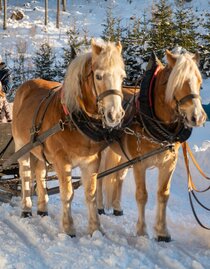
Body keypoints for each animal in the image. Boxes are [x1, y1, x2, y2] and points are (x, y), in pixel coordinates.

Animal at [11, 38, 126, 236]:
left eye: (122, 77)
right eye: (98, 76)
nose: (115, 115)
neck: (73, 119)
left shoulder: (91, 161)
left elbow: (90, 194)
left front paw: (95, 229)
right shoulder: (61, 161)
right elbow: (67, 193)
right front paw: (68, 228)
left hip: (39, 150)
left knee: (40, 173)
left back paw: (42, 209)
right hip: (21, 148)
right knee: (25, 176)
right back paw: (26, 209)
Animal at [97, 50, 207, 241]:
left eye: (200, 83)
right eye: (178, 82)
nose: (198, 117)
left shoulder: (168, 164)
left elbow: (163, 195)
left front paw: (162, 232)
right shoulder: (140, 163)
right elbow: (142, 195)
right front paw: (142, 230)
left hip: (123, 156)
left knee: (118, 177)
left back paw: (117, 207)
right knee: (100, 177)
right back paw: (100, 206)